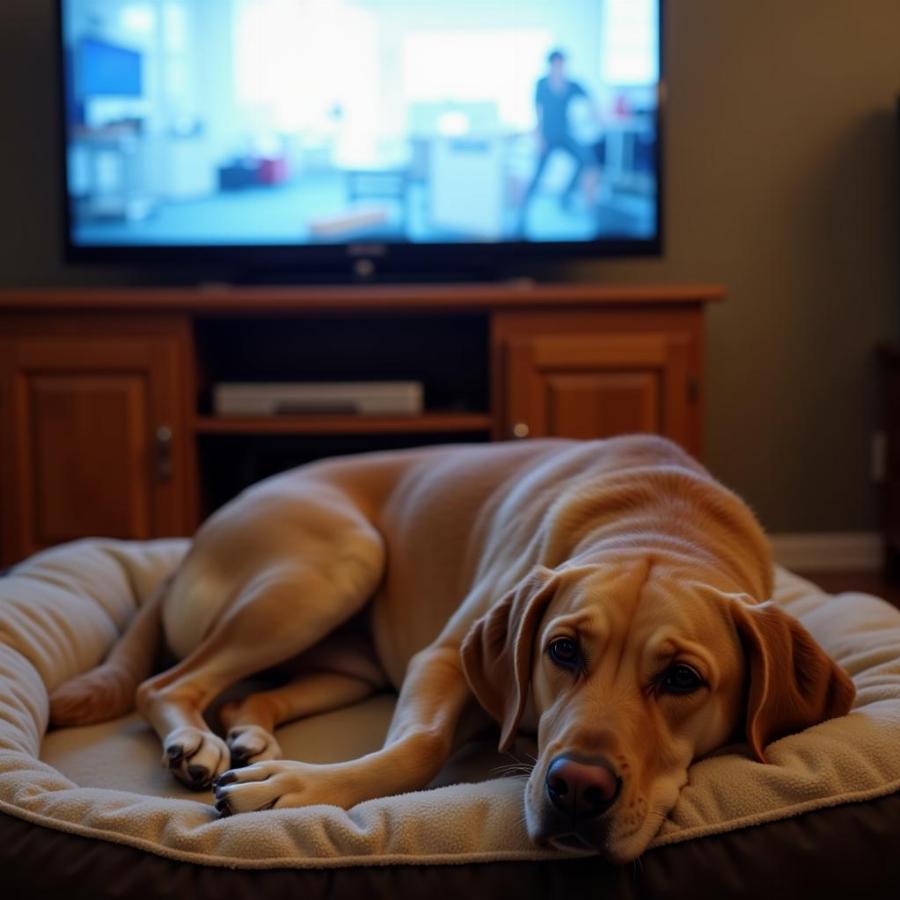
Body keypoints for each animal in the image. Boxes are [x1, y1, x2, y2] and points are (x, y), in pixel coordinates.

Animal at [52, 436, 856, 864]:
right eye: (562, 651)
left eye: (683, 678)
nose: (576, 789)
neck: (663, 522)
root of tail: (189, 544)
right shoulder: (443, 658)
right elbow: (420, 747)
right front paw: (292, 791)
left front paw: (284, 778)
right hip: (334, 564)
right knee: (167, 683)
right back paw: (197, 743)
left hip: (347, 662)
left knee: (247, 692)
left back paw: (249, 736)